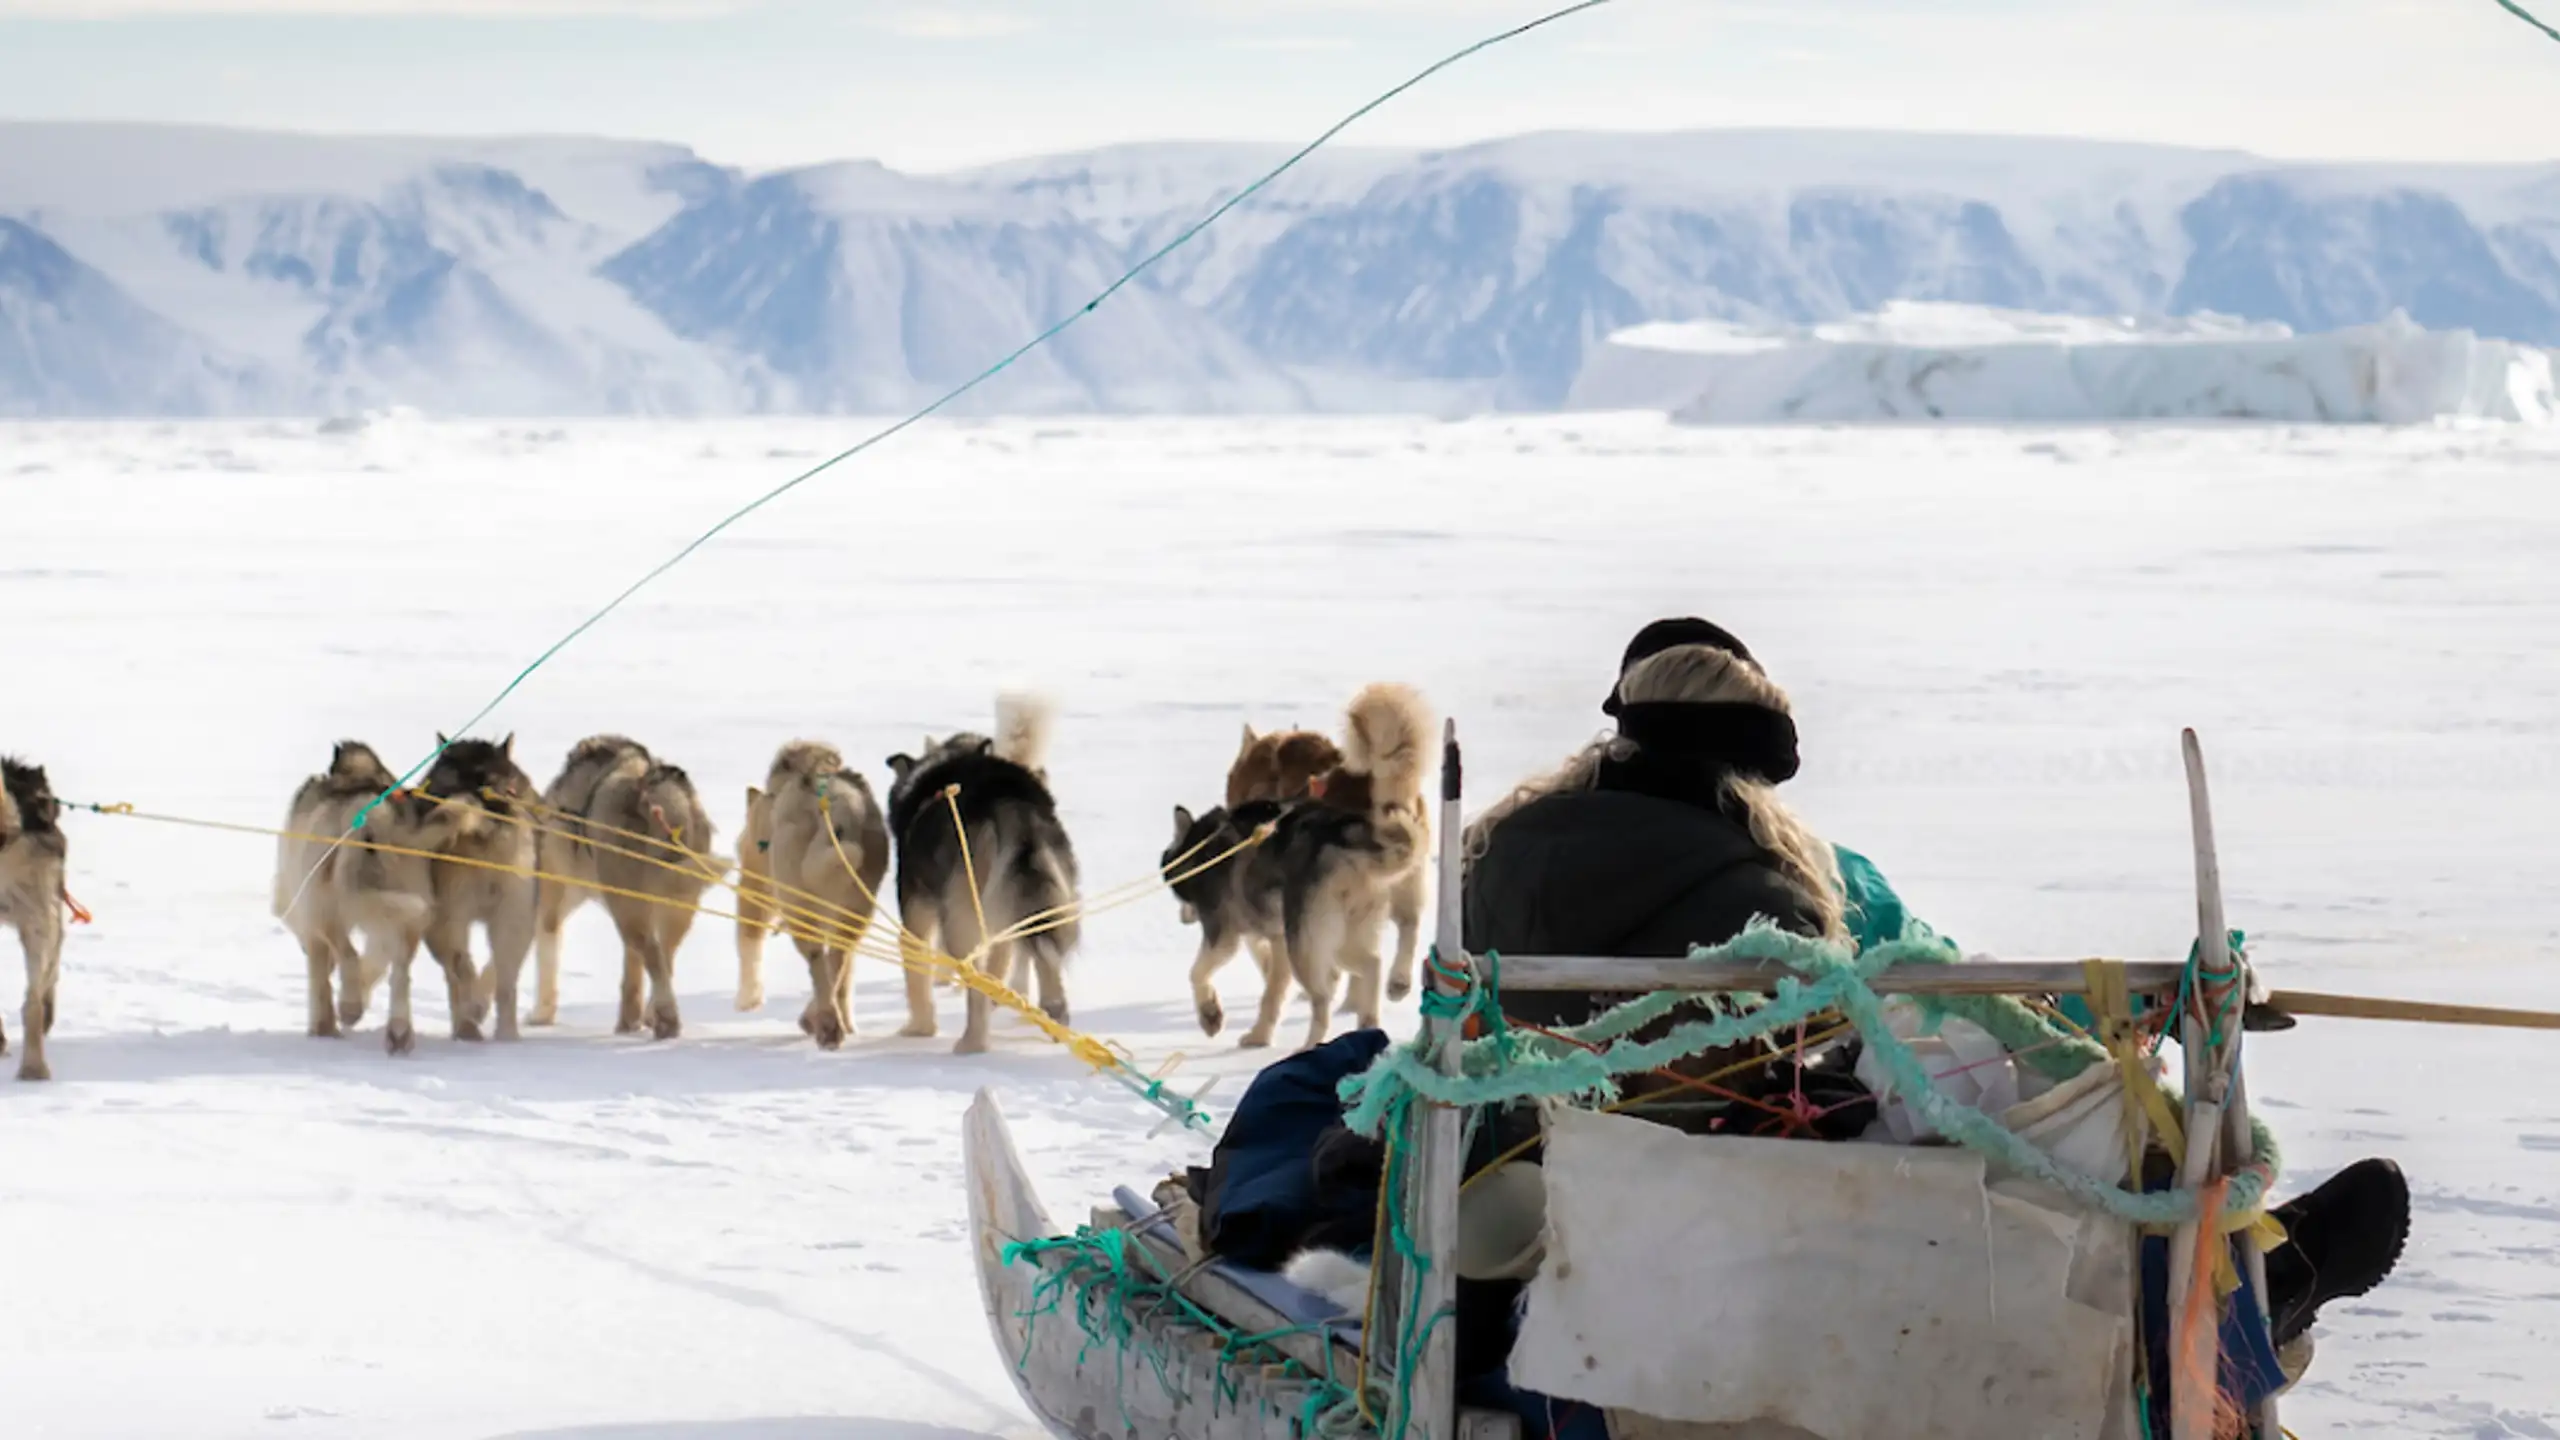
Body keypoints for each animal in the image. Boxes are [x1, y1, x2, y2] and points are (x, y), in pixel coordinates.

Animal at [275, 743, 450, 1035]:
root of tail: (371, 816)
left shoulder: (306, 918)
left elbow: (320, 980)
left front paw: (323, 1026)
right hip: (407, 907)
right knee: (400, 969)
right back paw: (399, 1029)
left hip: (327, 906)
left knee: (348, 954)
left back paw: (350, 1006)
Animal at [527, 732, 711, 1035]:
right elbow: (632, 973)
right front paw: (629, 1022)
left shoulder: (551, 899)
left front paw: (539, 1017)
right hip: (675, 904)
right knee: (664, 953)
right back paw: (652, 1015)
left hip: (626, 902)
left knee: (653, 953)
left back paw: (666, 1018)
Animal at [737, 737, 896, 1040]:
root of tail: (836, 806)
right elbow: (844, 977)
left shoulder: (755, 885)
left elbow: (749, 943)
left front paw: (748, 1000)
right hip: (855, 910)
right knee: (838, 959)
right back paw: (829, 1021)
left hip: (798, 904)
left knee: (818, 961)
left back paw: (826, 1025)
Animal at [890, 696, 1080, 1055]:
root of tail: (1007, 799)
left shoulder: (917, 910)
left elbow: (916, 975)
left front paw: (919, 1028)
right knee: (1038, 958)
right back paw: (1054, 1014)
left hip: (962, 917)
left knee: (976, 982)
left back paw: (972, 1042)